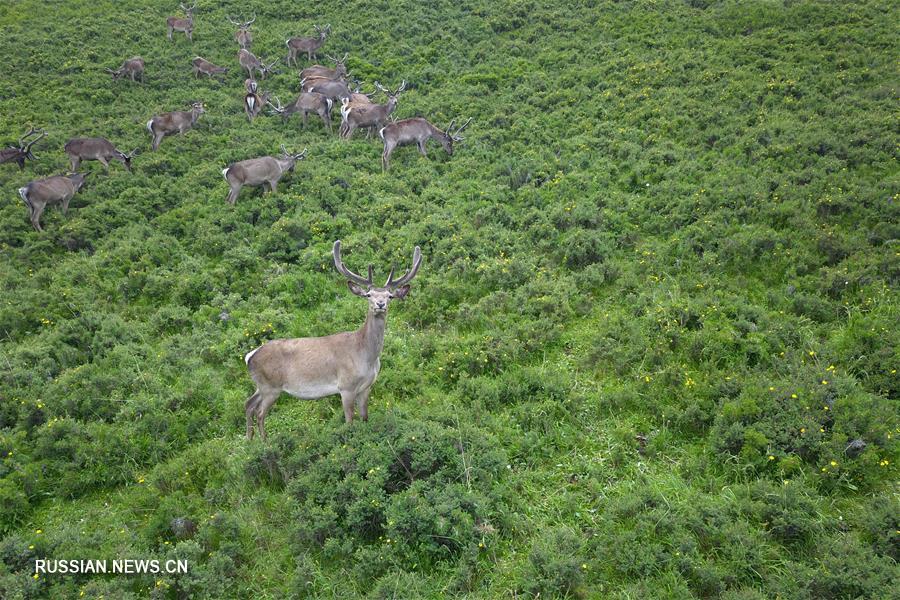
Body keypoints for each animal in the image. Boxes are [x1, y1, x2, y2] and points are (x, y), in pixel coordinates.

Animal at [244, 240, 424, 440]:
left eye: (390, 296)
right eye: (368, 295)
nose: (380, 304)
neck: (366, 356)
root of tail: (250, 356)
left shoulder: (366, 387)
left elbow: (365, 417)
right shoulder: (346, 386)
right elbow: (349, 420)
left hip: (261, 385)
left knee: (248, 404)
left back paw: (249, 440)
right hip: (271, 386)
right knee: (260, 413)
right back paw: (264, 443)